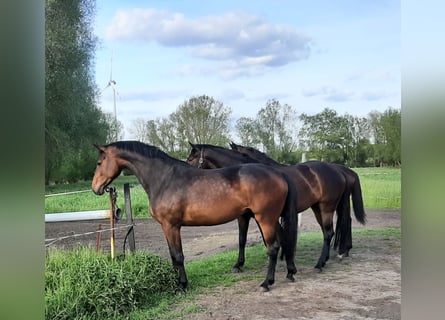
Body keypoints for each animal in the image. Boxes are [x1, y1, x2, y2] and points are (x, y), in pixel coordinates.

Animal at [91, 141, 296, 292]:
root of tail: (278, 173)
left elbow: (178, 256)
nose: (95, 188)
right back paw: (289, 272)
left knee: (272, 248)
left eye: (99, 163)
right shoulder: (167, 227)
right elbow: (173, 255)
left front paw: (182, 286)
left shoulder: (171, 226)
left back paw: (266, 283)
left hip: (265, 219)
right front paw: (176, 283)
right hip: (270, 219)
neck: (164, 179)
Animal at [186, 142, 364, 270]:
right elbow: (242, 239)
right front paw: (239, 264)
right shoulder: (245, 216)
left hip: (327, 207)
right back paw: (338, 253)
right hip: (319, 207)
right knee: (335, 227)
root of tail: (340, 171)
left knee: (331, 230)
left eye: (190, 158)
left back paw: (325, 261)